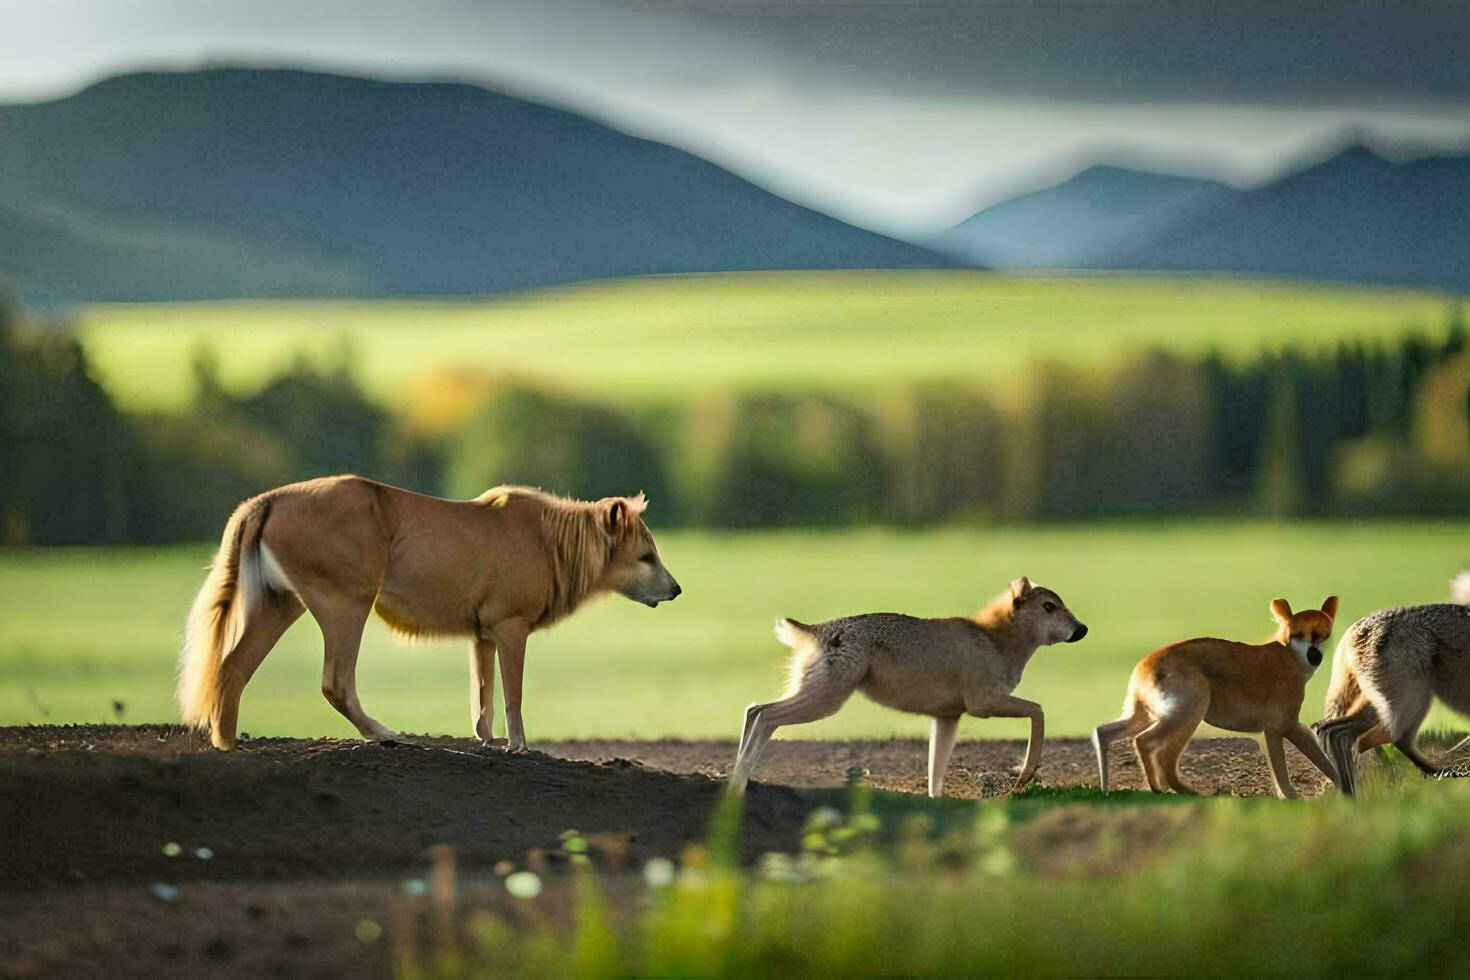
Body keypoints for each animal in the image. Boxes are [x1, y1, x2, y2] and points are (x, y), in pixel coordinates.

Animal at [177, 476, 676, 752]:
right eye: (646, 556)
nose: (675, 589)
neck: (548, 541)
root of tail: (269, 499)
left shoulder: (482, 635)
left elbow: (483, 697)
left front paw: (486, 741)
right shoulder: (510, 628)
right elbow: (511, 695)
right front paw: (518, 746)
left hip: (281, 602)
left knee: (232, 667)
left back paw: (227, 741)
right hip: (347, 601)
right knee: (336, 681)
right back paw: (382, 733)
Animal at [1093, 599, 1346, 799]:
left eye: (1324, 634)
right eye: (1297, 634)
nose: (1314, 655)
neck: (1290, 655)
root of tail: (1142, 668)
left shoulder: (1285, 728)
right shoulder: (1281, 727)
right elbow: (1285, 769)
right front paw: (1294, 796)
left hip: (1146, 714)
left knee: (1104, 732)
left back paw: (1108, 787)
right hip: (1189, 711)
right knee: (1149, 745)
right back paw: (1168, 789)